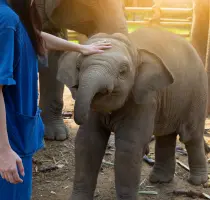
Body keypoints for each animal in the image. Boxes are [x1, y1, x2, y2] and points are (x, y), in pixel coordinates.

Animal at [56, 27, 208, 200]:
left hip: (198, 92)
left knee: (191, 136)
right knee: (166, 135)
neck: (135, 49)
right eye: (78, 66)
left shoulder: (145, 99)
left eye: (123, 71)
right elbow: (88, 141)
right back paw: (159, 180)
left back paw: (198, 182)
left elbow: (129, 145)